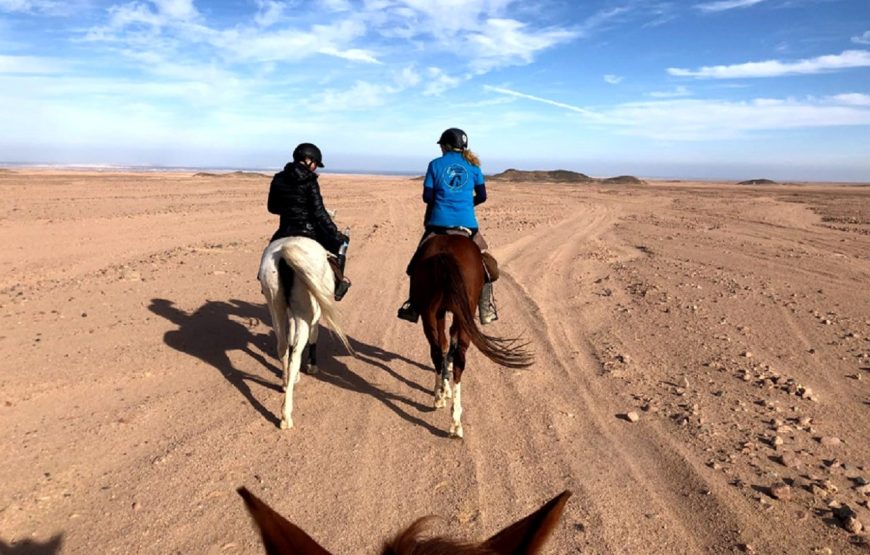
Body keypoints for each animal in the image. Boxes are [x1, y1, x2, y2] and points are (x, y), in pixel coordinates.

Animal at [258, 236, 352, 430]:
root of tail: (284, 253)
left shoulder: (290, 312)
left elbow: (290, 337)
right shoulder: (316, 311)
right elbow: (314, 336)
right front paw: (312, 366)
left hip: (275, 305)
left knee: (282, 346)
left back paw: (286, 382)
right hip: (305, 310)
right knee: (295, 353)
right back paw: (286, 415)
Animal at [412, 235, 536, 438]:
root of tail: (444, 255)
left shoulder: (441, 312)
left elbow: (445, 344)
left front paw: (444, 387)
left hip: (430, 312)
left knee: (437, 350)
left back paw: (440, 398)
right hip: (464, 311)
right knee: (459, 357)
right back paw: (455, 421)